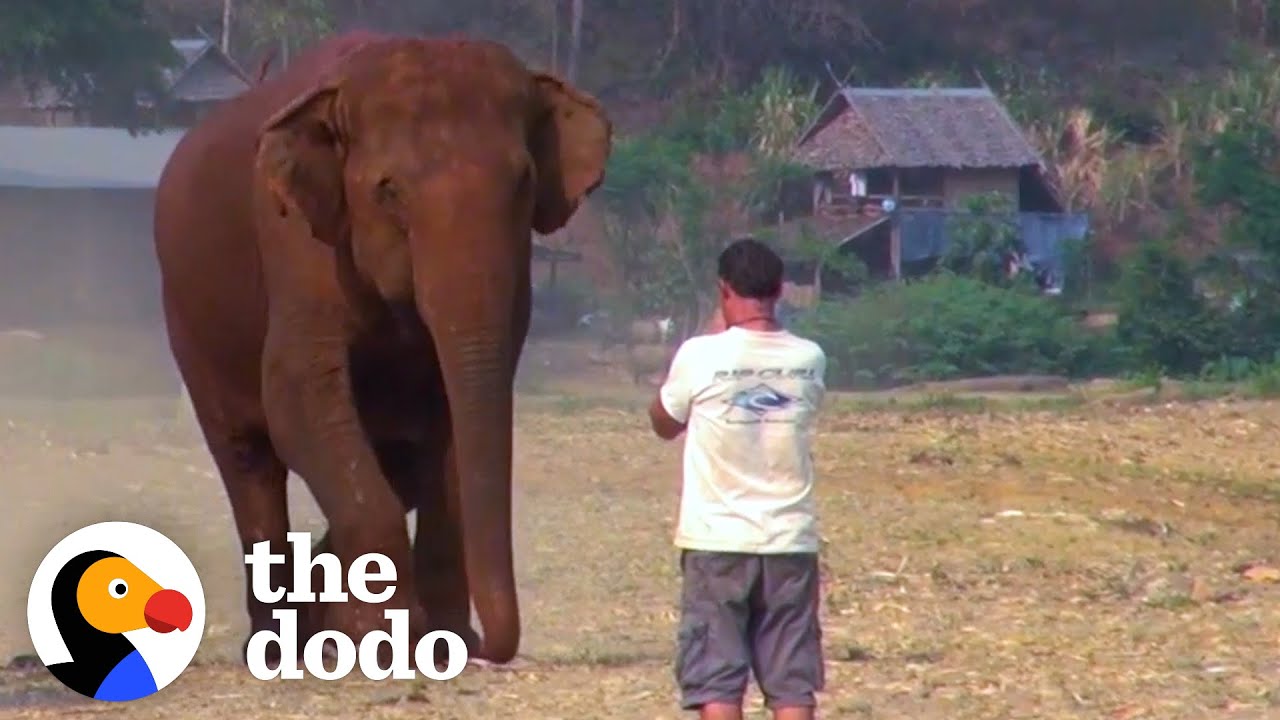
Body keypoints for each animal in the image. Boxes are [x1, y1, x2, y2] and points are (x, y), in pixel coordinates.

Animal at [154, 30, 614, 666]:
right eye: (388, 190)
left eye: (523, 182)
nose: (491, 647)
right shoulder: (296, 241)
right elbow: (298, 395)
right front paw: (382, 644)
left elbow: (451, 426)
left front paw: (441, 645)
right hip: (189, 325)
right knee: (248, 461)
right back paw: (275, 646)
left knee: (397, 462)